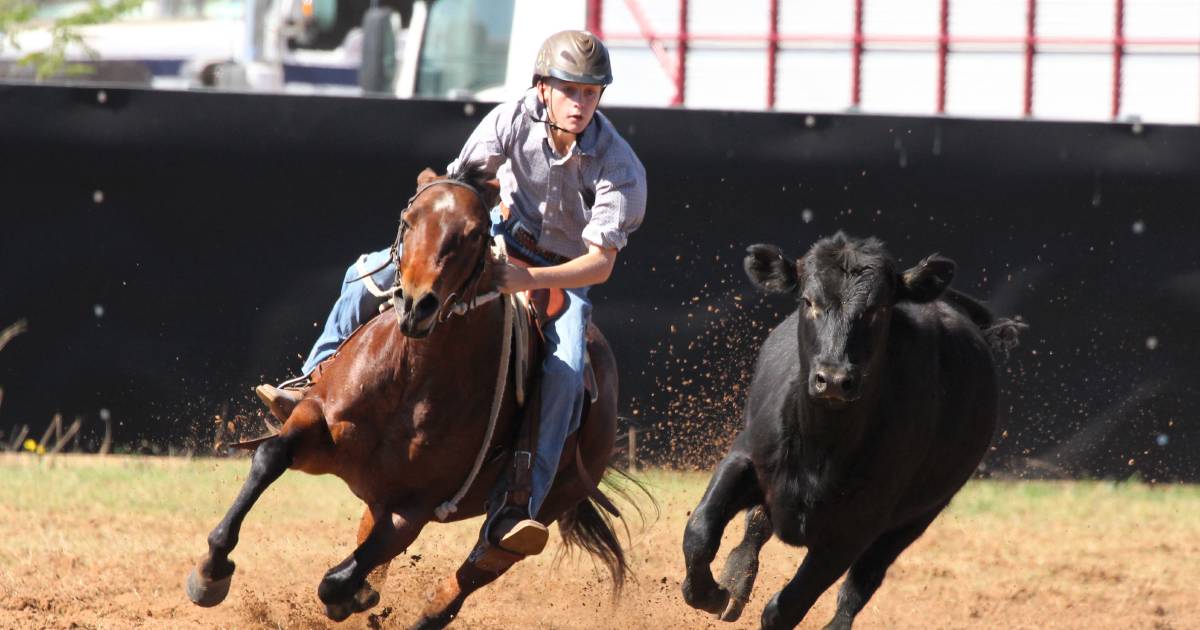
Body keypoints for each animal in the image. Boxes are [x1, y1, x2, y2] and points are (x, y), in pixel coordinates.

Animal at [184, 165, 628, 624]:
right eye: (409, 220)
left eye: (474, 234)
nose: (416, 304)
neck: (411, 377)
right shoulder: (318, 426)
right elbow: (270, 457)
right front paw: (211, 571)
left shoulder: (414, 507)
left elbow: (339, 579)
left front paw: (349, 595)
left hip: (529, 519)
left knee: (461, 584)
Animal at [686, 231, 1022, 628]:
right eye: (809, 301)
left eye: (878, 309)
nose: (833, 379)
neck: (822, 446)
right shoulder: (744, 458)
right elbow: (700, 530)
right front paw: (709, 593)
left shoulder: (855, 530)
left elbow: (788, 606)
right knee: (756, 526)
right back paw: (735, 580)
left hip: (918, 516)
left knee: (863, 580)